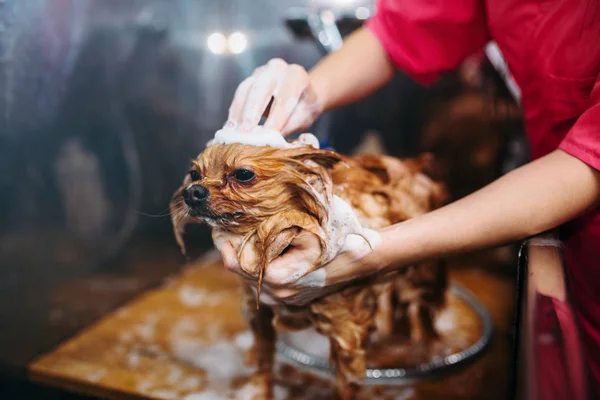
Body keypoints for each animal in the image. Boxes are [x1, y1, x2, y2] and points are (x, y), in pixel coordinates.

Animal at [171, 130, 448, 396]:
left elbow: (345, 389)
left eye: (243, 174)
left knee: (425, 314)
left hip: (424, 276)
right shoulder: (258, 313)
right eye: (194, 174)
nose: (191, 191)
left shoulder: (347, 334)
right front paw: (260, 392)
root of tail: (413, 169)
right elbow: (263, 365)